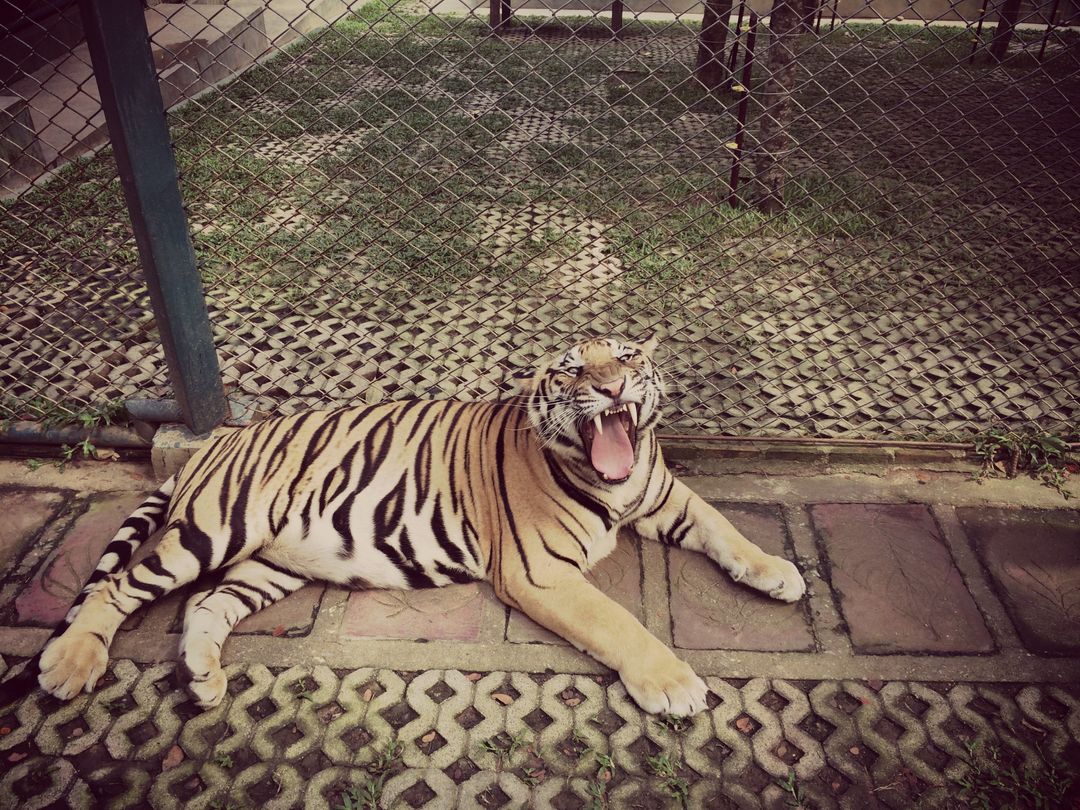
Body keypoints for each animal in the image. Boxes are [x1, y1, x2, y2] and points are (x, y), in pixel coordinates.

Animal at [1, 336, 805, 717]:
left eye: (627, 357)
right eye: (572, 370)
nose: (610, 387)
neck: (618, 480)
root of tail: (215, 441)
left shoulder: (664, 496)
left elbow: (725, 529)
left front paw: (779, 572)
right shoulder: (542, 572)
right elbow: (620, 624)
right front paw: (674, 683)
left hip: (269, 563)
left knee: (205, 605)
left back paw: (202, 680)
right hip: (214, 528)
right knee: (119, 590)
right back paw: (69, 664)